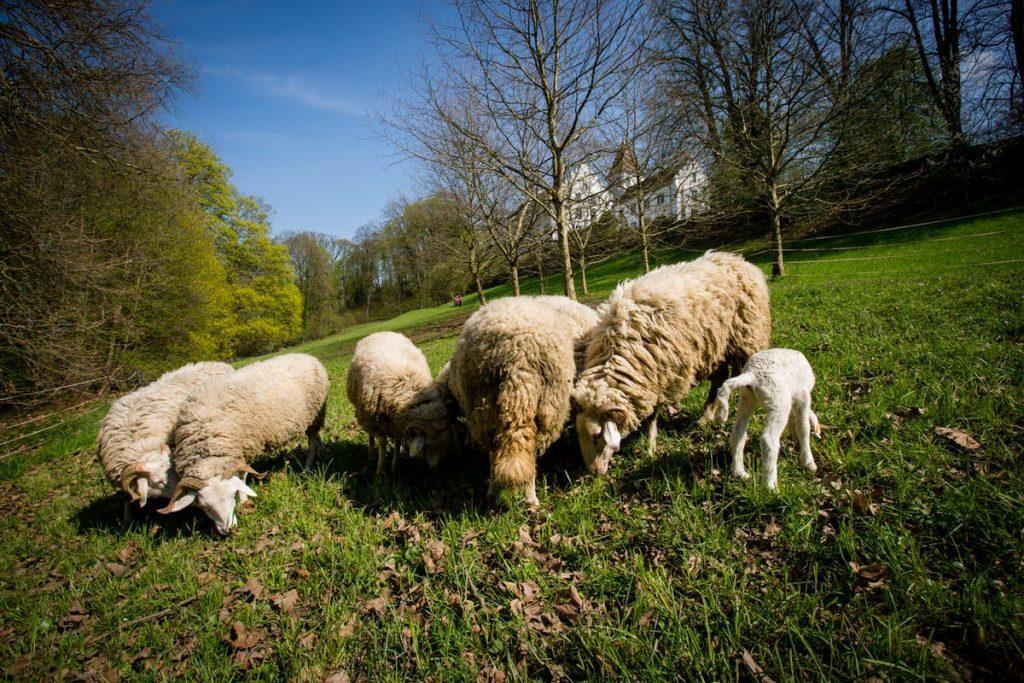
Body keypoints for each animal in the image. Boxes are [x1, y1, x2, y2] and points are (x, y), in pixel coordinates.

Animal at [158, 353, 329, 535]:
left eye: (232, 495)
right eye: (205, 507)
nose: (227, 529)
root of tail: (307, 356)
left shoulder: (245, 447)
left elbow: (242, 476)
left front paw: (244, 501)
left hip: (315, 415)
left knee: (312, 442)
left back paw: (307, 467)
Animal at [346, 331, 455, 474]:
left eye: (446, 443)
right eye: (428, 446)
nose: (436, 469)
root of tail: (380, 332)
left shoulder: (396, 423)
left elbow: (397, 441)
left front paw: (395, 466)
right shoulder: (374, 421)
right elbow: (382, 442)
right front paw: (380, 469)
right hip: (364, 417)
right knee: (370, 436)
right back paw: (370, 453)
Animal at [446, 296, 599, 506]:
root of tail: (516, 359)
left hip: (483, 406)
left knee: (494, 453)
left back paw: (492, 493)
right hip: (548, 407)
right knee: (530, 450)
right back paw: (531, 500)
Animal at [573, 251, 771, 475]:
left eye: (596, 435)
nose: (593, 472)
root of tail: (740, 261)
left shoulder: (660, 373)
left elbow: (652, 415)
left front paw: (650, 447)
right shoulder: (650, 377)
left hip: (747, 337)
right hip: (716, 346)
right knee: (719, 380)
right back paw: (706, 417)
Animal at [715, 348, 820, 490]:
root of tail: (751, 374)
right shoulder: (802, 396)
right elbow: (803, 428)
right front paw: (808, 462)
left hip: (746, 397)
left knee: (738, 433)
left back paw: (739, 472)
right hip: (779, 401)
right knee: (768, 440)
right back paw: (770, 486)